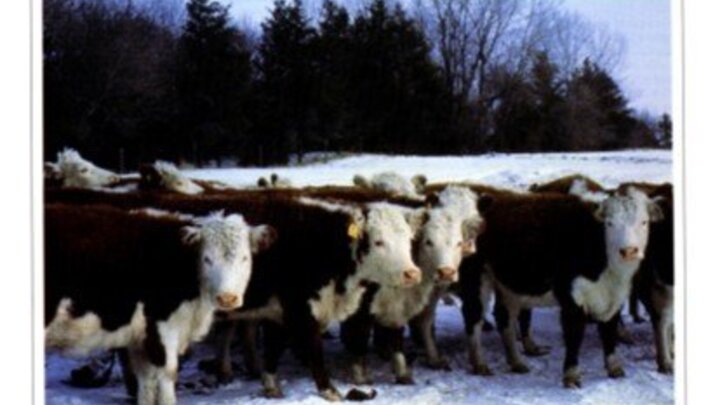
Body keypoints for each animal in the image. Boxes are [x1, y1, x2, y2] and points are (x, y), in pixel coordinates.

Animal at [45, 204, 276, 404]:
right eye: (207, 259)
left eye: (245, 258)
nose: (227, 298)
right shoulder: (163, 329)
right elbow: (167, 376)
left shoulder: (140, 340)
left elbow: (145, 382)